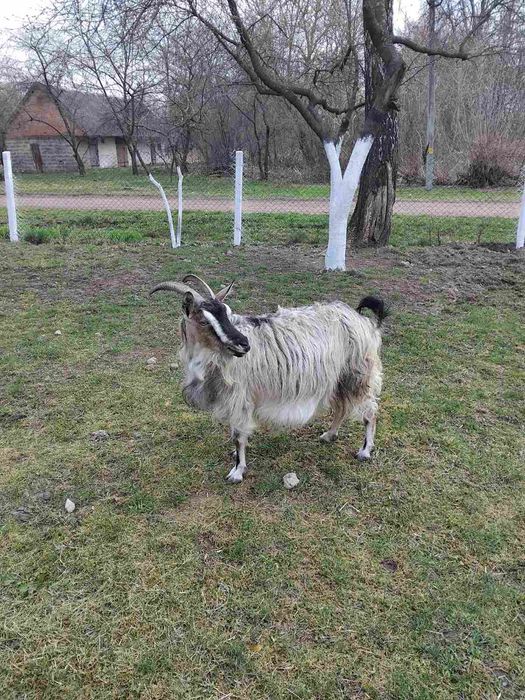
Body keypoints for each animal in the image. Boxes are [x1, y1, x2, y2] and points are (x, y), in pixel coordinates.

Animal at [150, 275, 387, 483]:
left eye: (227, 312)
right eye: (202, 321)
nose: (243, 344)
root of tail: (363, 319)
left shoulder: (239, 397)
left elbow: (238, 435)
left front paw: (237, 471)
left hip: (359, 373)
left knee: (369, 412)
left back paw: (364, 451)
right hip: (340, 377)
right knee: (342, 407)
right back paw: (329, 435)